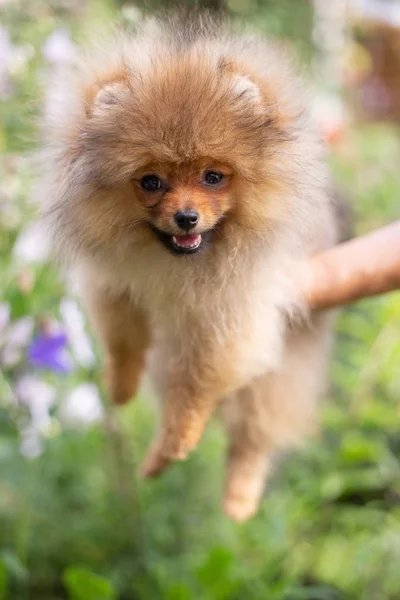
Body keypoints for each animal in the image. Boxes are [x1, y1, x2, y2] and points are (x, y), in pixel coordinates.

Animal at [44, 12, 344, 520]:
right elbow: (122, 337)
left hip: (286, 365)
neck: (177, 263)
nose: (186, 217)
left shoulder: (231, 315)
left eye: (213, 177)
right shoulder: (113, 280)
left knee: (254, 431)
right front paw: (119, 385)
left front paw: (175, 439)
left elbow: (194, 386)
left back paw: (239, 495)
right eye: (151, 181)